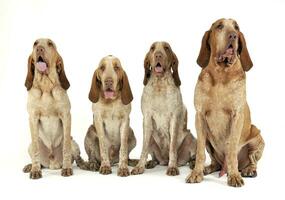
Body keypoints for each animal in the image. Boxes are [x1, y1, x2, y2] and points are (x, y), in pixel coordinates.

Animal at [23, 38, 86, 179]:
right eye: (35, 43)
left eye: (50, 44)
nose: (39, 49)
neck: (46, 85)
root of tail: (52, 164)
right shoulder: (32, 118)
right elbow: (36, 151)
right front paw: (35, 170)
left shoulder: (66, 116)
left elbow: (66, 148)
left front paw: (67, 168)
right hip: (29, 146)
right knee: (37, 157)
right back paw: (31, 166)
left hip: (74, 143)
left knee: (76, 157)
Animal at [130, 41, 195, 175]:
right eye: (152, 48)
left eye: (166, 48)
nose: (158, 55)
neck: (160, 84)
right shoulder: (147, 119)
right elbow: (143, 149)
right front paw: (139, 166)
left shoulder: (174, 118)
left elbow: (172, 147)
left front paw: (172, 167)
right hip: (151, 140)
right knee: (155, 157)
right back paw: (151, 163)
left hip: (191, 138)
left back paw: (191, 163)